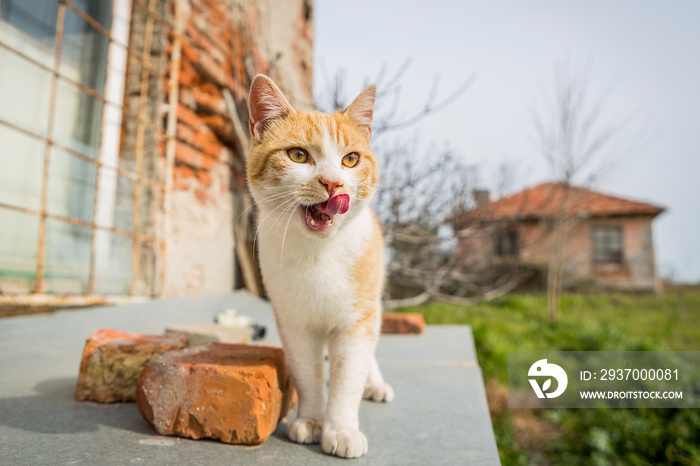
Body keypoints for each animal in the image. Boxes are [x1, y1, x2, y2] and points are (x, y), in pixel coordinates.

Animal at [246, 76, 392, 458]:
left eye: (351, 159)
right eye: (298, 155)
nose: (332, 182)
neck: (318, 254)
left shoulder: (356, 323)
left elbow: (348, 377)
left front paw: (340, 429)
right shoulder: (294, 323)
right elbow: (306, 372)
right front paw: (310, 420)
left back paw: (375, 384)